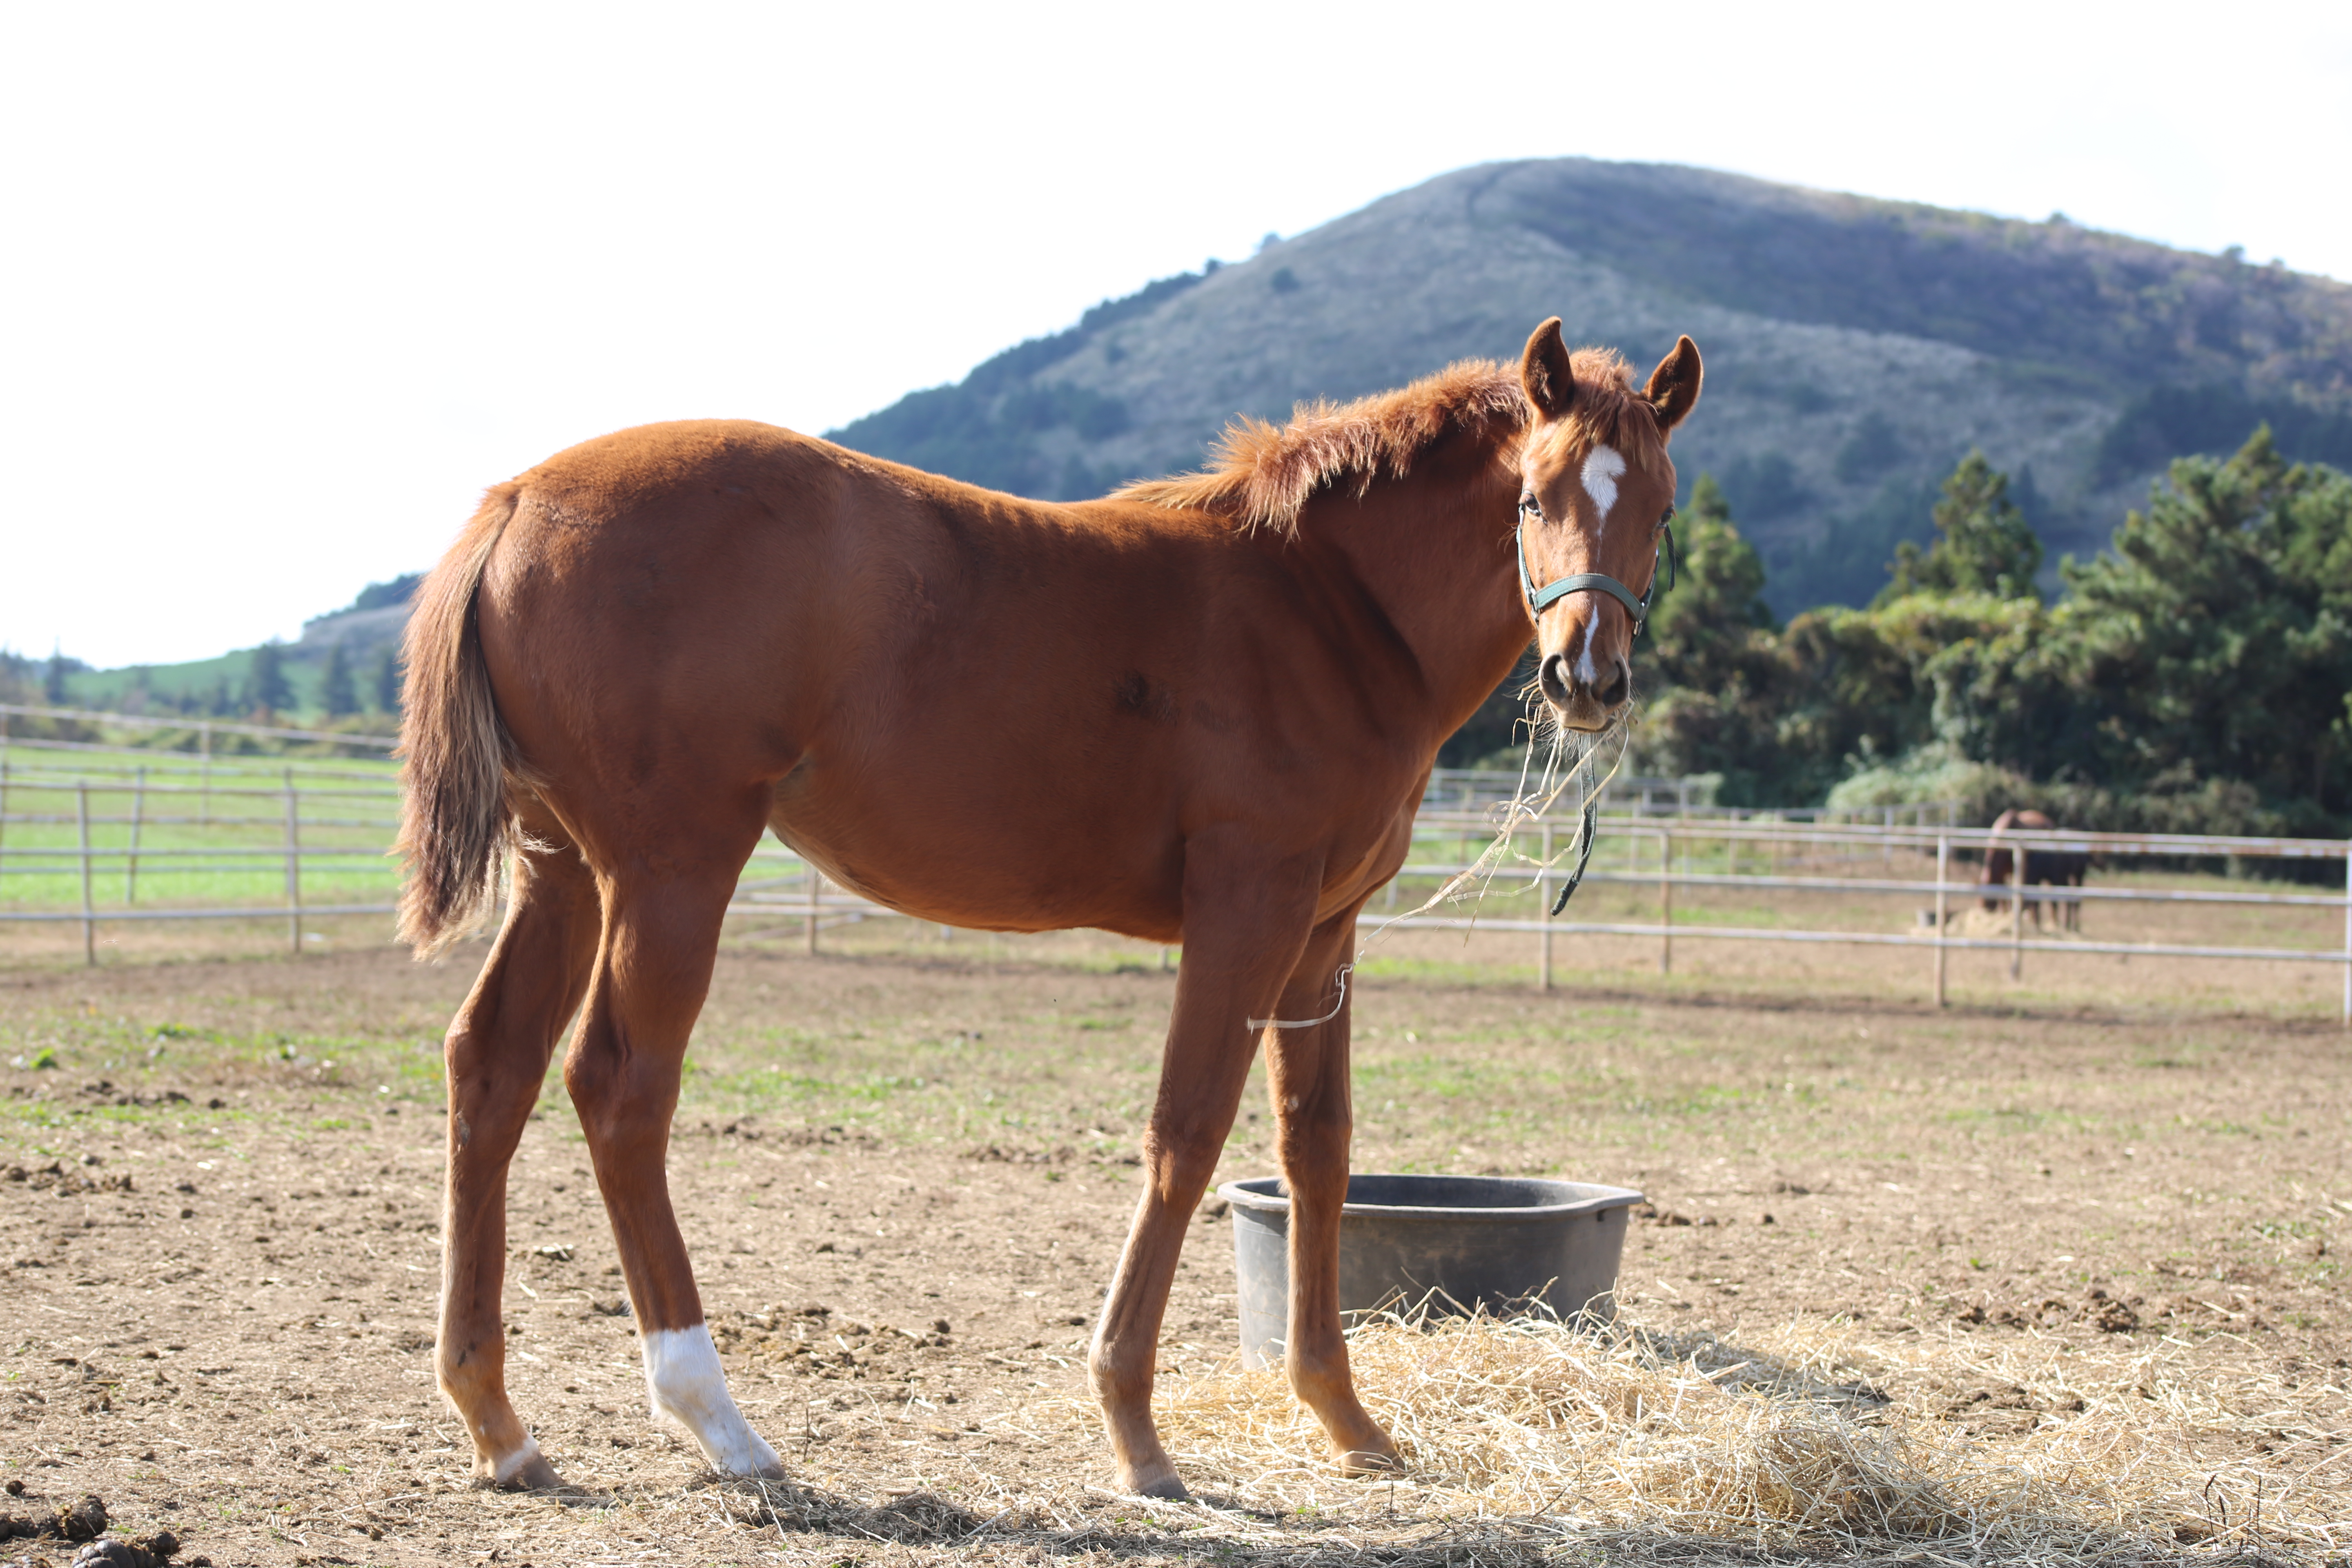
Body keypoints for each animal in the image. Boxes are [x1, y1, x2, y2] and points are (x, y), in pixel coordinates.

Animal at [395, 315, 1703, 1495]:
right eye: (1530, 499)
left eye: (1658, 510)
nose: (1586, 677)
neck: (1325, 606)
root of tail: (517, 500)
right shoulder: (1248, 908)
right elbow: (1185, 1134)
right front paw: (1135, 1430)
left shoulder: (1323, 938)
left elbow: (1317, 1152)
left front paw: (1344, 1418)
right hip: (672, 869)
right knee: (620, 1085)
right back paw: (717, 1420)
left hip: (563, 869)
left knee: (490, 1064)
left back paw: (497, 1423)